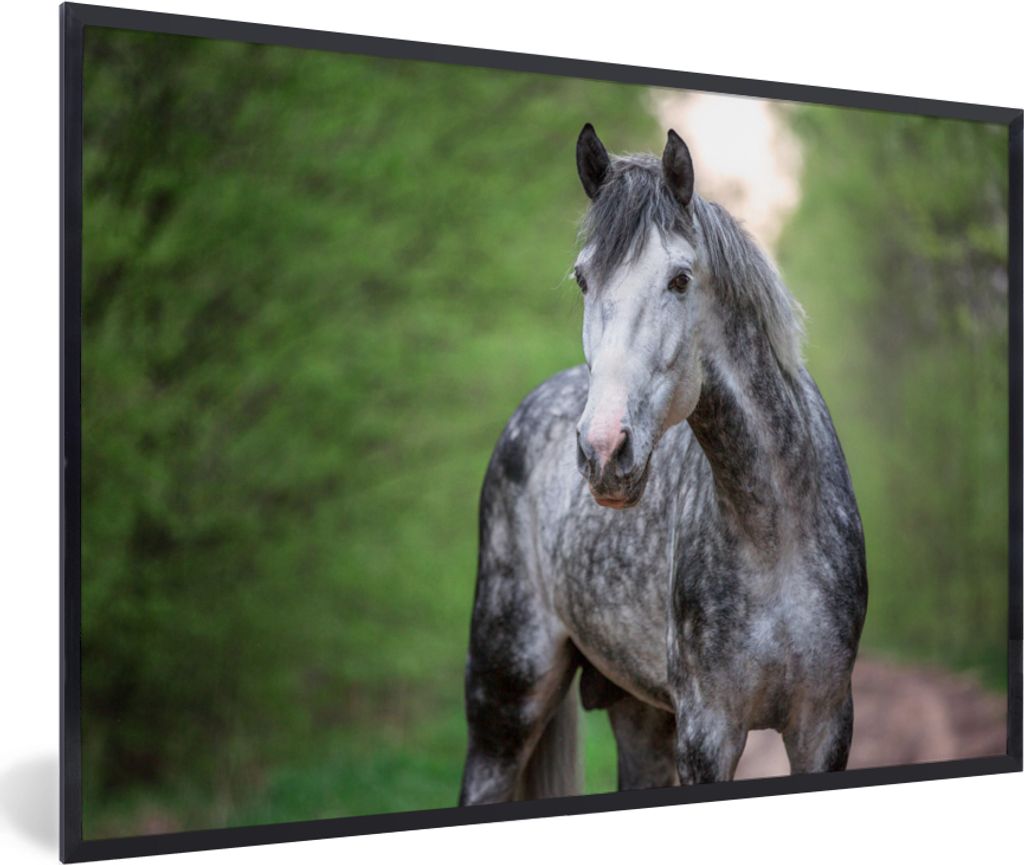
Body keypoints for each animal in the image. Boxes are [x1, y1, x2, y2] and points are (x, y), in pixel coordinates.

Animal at [458, 124, 867, 804]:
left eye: (679, 280)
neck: (776, 537)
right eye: (583, 279)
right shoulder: (707, 731)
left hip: (639, 715)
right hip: (505, 701)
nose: (603, 451)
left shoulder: (825, 725)